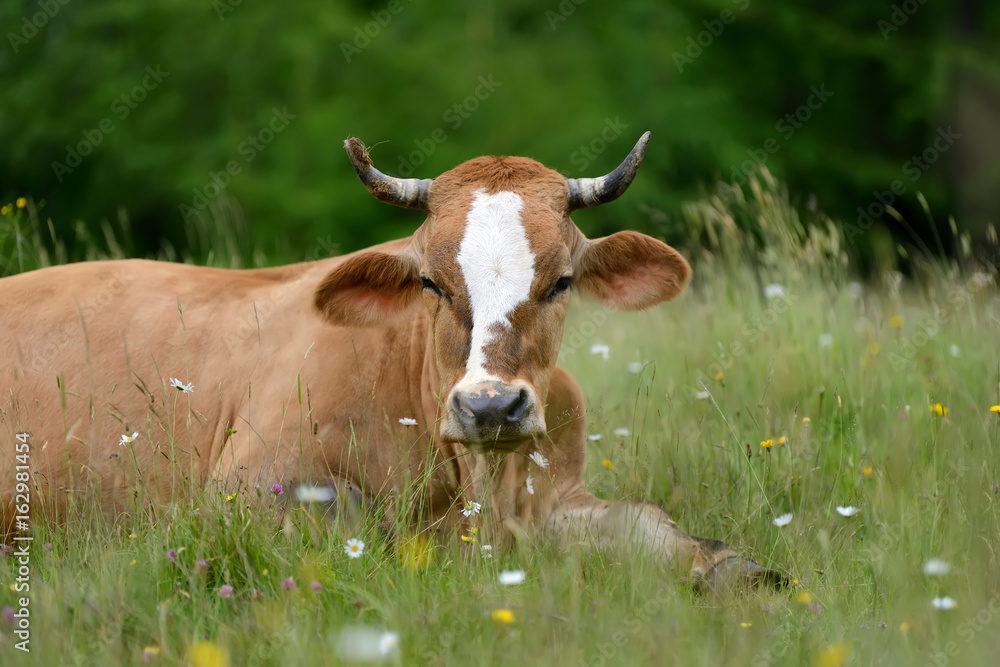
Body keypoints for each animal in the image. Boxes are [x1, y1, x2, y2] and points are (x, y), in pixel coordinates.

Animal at [0, 134, 780, 588]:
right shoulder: (243, 488)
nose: (491, 406)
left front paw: (736, 568)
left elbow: (654, 525)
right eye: (431, 282)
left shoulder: (561, 493)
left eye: (561, 281)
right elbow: (359, 528)